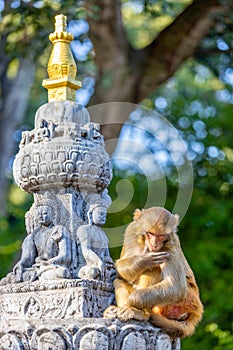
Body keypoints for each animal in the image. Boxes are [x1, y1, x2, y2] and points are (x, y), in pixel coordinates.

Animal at [104, 206, 204, 338]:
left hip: (185, 301)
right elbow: (121, 270)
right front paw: (143, 260)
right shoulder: (131, 230)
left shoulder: (170, 245)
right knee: (118, 281)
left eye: (161, 236)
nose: (154, 244)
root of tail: (197, 311)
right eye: (150, 234)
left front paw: (130, 302)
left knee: (155, 269)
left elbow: (176, 287)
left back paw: (141, 313)